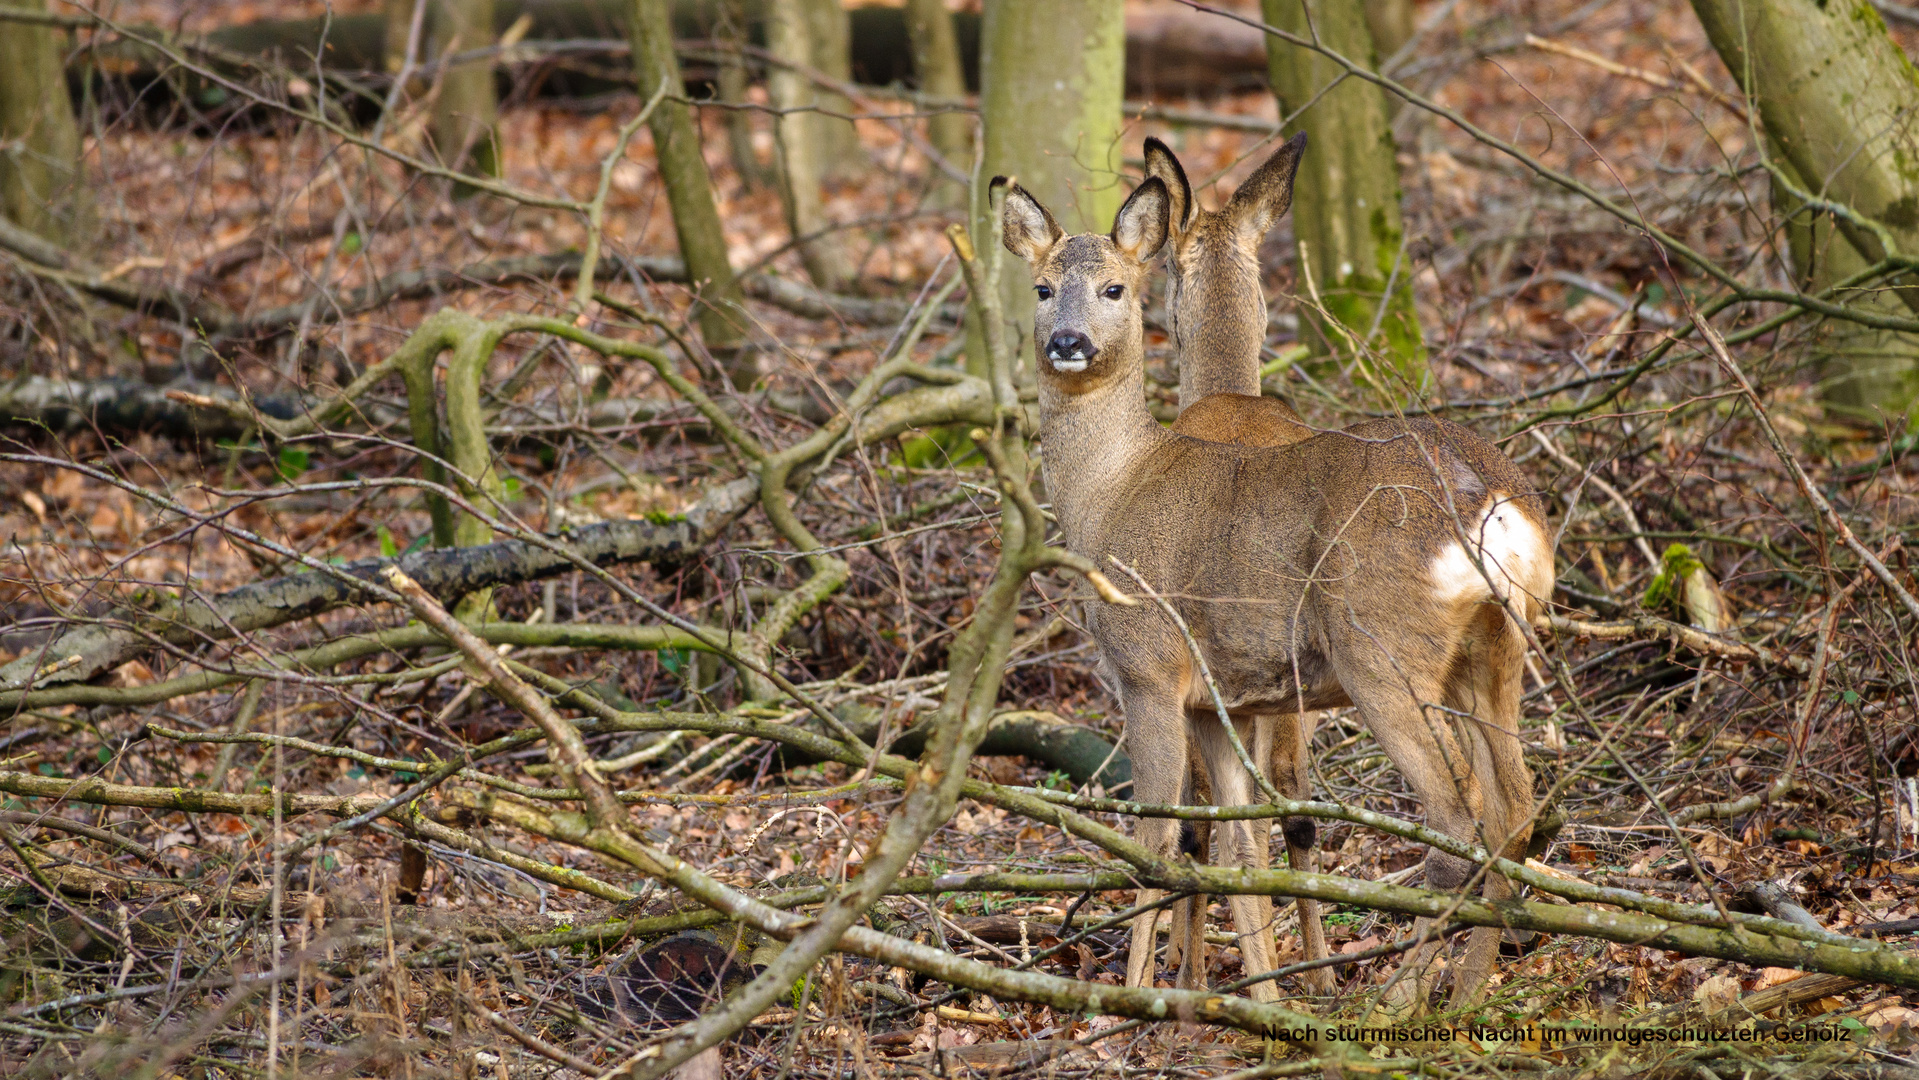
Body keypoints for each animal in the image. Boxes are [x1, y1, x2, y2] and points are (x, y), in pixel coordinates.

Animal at [1005, 173, 1558, 1012]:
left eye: (1114, 288)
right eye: (1040, 287)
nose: (1067, 341)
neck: (1108, 493)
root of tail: (1487, 501)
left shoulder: (1146, 665)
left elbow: (1155, 835)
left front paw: (1138, 998)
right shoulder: (1219, 699)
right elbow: (1239, 837)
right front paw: (1257, 994)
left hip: (1380, 647)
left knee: (1455, 817)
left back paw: (1395, 995)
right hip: (1495, 646)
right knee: (1513, 810)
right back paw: (1462, 991)